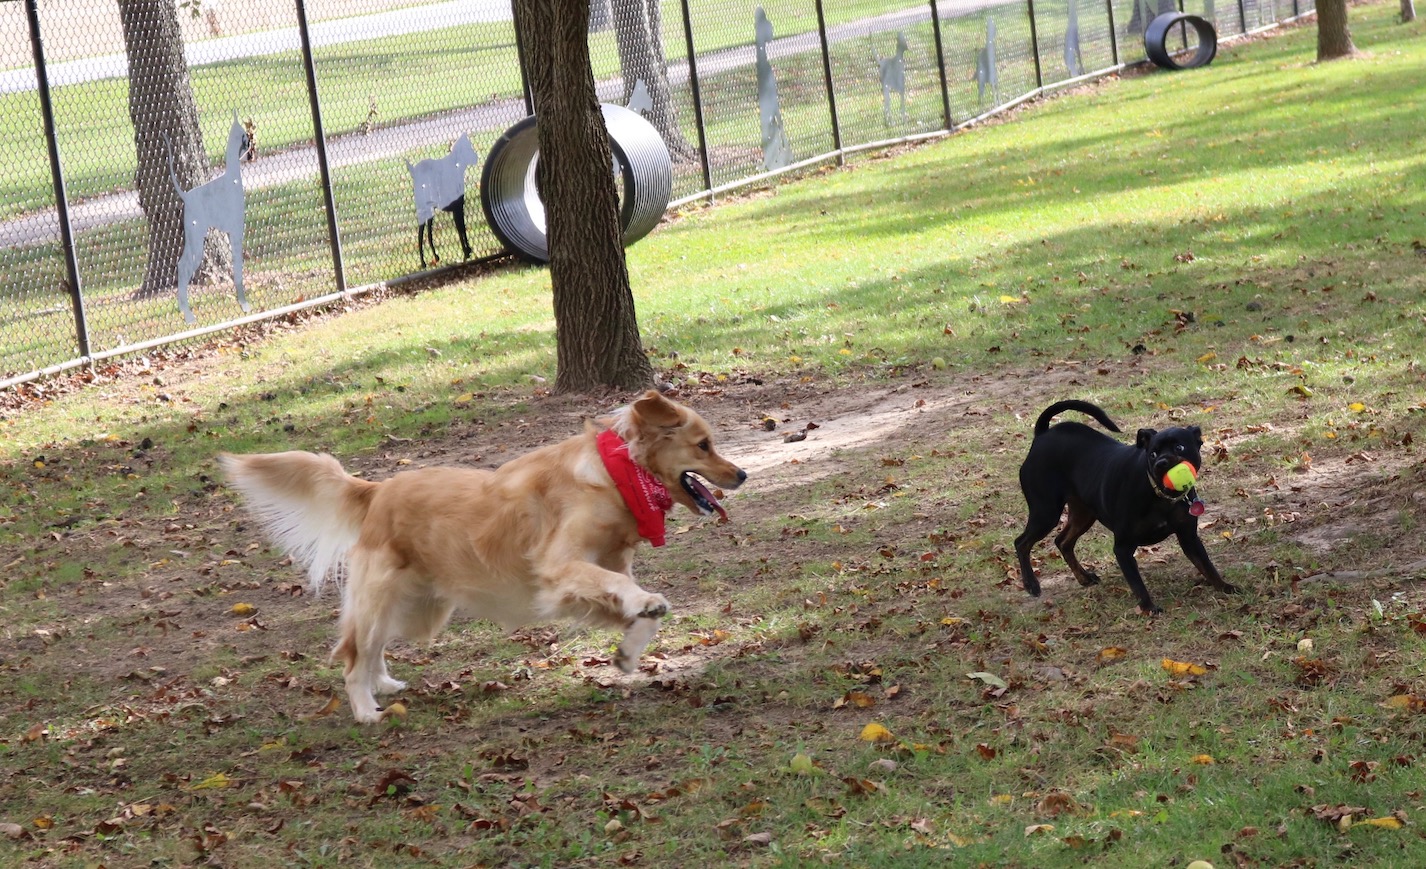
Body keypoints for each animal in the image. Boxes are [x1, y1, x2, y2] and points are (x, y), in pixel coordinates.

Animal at [222, 390, 747, 722]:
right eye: (704, 445)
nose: (741, 474)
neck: (616, 474)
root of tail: (378, 490)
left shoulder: (592, 579)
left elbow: (634, 607)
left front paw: (629, 651)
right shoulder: (559, 570)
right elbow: (628, 591)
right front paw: (645, 613)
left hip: (415, 606)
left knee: (369, 650)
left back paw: (383, 685)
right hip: (382, 599)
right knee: (353, 656)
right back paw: (367, 710)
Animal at [1015, 396, 1237, 613]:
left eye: (1179, 447)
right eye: (1152, 454)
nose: (1161, 463)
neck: (1159, 497)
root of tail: (1041, 435)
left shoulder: (1188, 536)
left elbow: (1206, 565)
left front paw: (1224, 587)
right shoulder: (1123, 547)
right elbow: (1137, 583)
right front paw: (1148, 608)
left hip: (1083, 514)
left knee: (1062, 541)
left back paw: (1084, 577)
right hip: (1046, 512)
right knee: (1022, 542)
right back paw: (1031, 584)